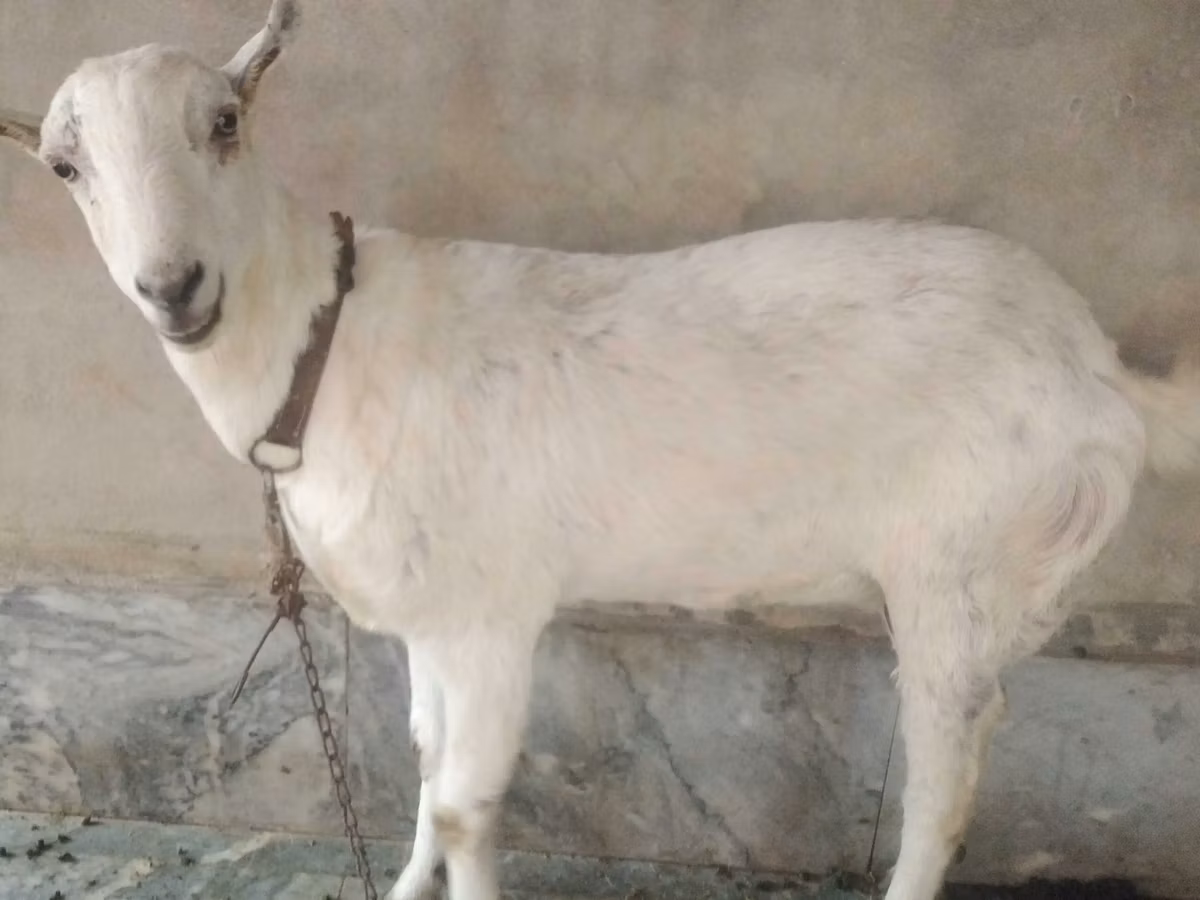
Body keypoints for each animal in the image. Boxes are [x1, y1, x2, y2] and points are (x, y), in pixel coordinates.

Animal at [4, 3, 1199, 899]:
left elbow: (468, 805)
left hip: (967, 558)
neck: (326, 344)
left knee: (944, 789)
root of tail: (1105, 372)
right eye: (63, 167)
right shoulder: (431, 610)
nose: (176, 289)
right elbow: (424, 758)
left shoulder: (493, 612)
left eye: (225, 122)